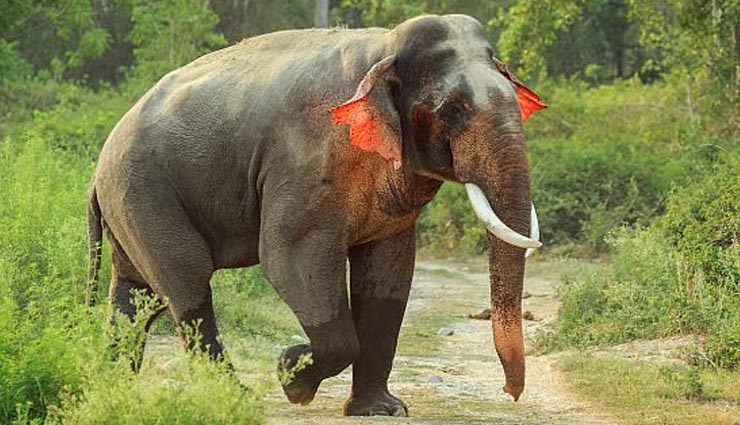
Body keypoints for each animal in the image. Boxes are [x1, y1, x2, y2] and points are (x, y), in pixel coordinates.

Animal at [86, 14, 546, 417]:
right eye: (453, 110)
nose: (510, 391)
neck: (384, 48)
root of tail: (97, 169)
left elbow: (388, 270)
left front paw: (382, 410)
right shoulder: (305, 162)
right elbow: (289, 257)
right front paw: (292, 377)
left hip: (130, 205)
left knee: (137, 295)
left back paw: (112, 387)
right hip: (144, 192)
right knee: (186, 280)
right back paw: (236, 397)